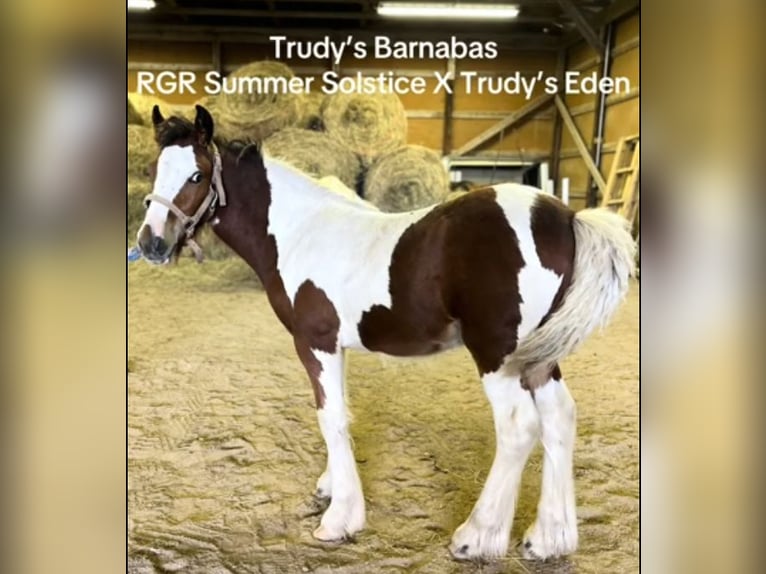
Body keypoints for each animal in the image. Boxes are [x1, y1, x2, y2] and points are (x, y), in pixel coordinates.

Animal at [136, 104, 635, 561]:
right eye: (155, 171)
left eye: (197, 175)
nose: (151, 243)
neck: (299, 232)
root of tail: (564, 218)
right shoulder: (336, 346)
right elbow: (338, 413)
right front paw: (331, 487)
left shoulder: (315, 342)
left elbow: (330, 417)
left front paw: (340, 518)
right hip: (539, 356)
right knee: (559, 417)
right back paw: (549, 539)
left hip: (498, 354)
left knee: (518, 425)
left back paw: (478, 537)